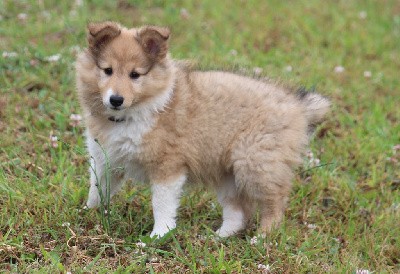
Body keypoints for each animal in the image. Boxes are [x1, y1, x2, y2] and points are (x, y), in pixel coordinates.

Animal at [75, 21, 328, 238]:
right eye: (107, 70)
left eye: (135, 75)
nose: (116, 99)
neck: (129, 117)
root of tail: (298, 106)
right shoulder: (105, 160)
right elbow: (97, 190)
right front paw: (88, 214)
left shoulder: (168, 165)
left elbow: (161, 204)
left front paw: (159, 235)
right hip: (228, 176)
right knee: (238, 213)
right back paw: (218, 237)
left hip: (257, 163)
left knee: (274, 203)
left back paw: (262, 238)